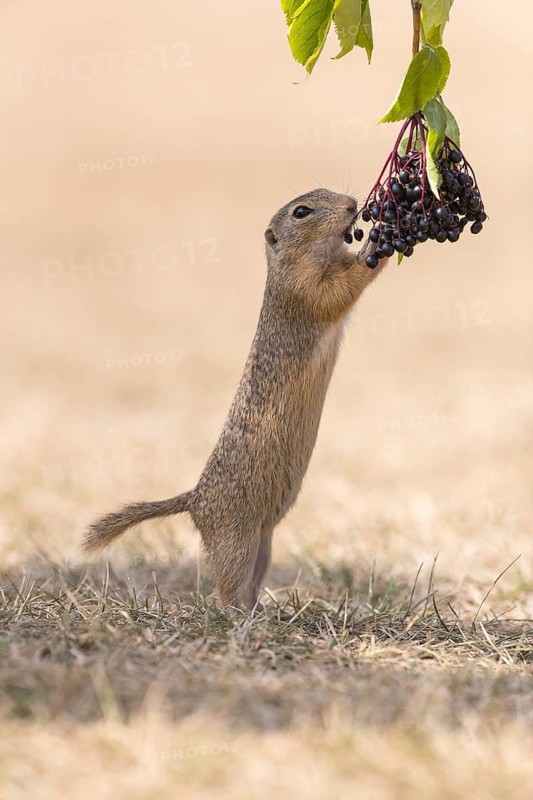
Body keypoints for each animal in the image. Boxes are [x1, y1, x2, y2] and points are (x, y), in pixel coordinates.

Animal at [83, 189, 389, 609]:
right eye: (302, 211)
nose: (351, 205)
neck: (312, 257)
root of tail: (194, 500)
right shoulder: (305, 291)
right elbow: (342, 289)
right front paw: (378, 243)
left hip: (264, 543)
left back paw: (261, 608)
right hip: (237, 540)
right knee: (225, 585)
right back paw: (237, 614)